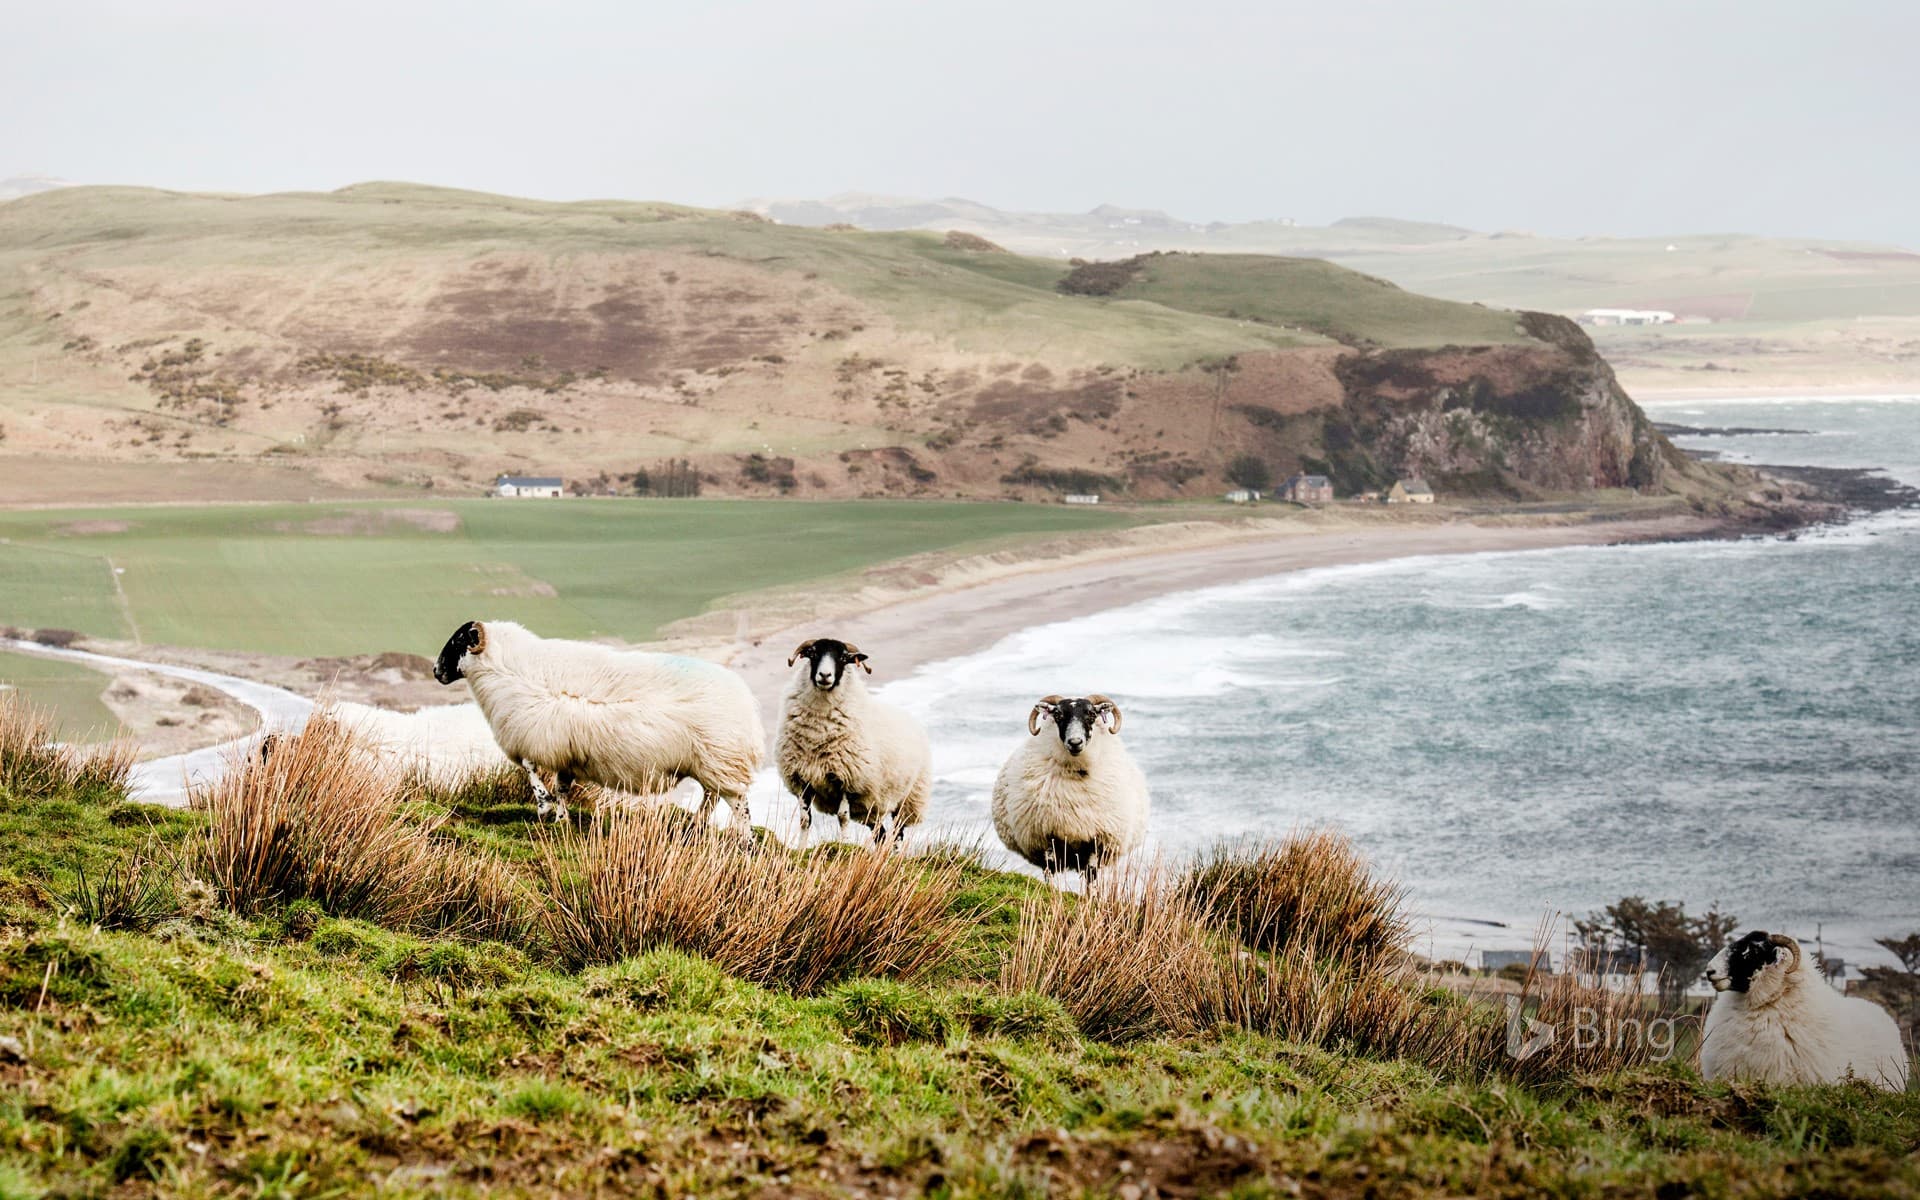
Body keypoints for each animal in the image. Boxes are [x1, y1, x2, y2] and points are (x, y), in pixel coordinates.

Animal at [432, 619, 764, 835]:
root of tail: (747, 704)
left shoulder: (535, 737)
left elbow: (530, 769)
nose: (435, 671)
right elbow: (562, 787)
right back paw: (696, 826)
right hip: (710, 764)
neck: (504, 669)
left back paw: (745, 843)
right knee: (712, 797)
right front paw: (561, 820)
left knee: (739, 805)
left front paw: (543, 807)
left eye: (459, 640)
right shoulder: (563, 750)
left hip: (721, 760)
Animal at [775, 638, 932, 846]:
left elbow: (842, 817)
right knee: (880, 834)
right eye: (813, 653)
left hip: (907, 800)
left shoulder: (846, 779)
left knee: (897, 833)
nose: (825, 675)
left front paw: (844, 844)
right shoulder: (802, 779)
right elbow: (804, 820)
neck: (817, 735)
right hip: (870, 808)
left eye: (843, 657)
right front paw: (801, 848)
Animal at [991, 694, 1148, 882]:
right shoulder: (1047, 836)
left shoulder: (1097, 839)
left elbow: (1091, 873)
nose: (1075, 742)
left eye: (1091, 714)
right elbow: (1050, 869)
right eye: (1058, 715)